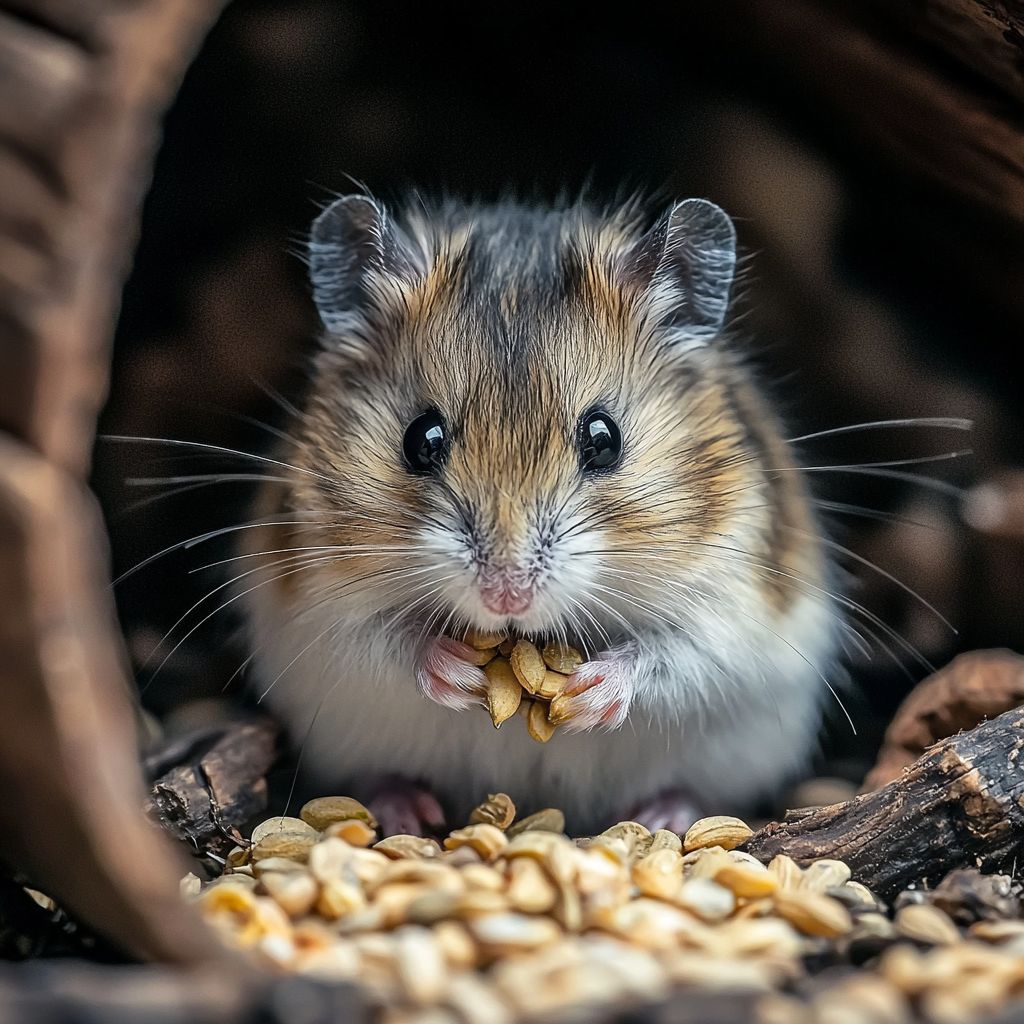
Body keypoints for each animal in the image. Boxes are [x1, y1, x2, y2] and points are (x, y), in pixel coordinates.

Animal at [241, 195, 839, 835]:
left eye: (604, 439)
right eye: (421, 439)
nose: (508, 598)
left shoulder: (733, 606)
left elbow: (675, 654)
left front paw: (585, 692)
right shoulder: (316, 613)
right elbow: (384, 639)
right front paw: (461, 672)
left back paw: (662, 816)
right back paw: (406, 811)